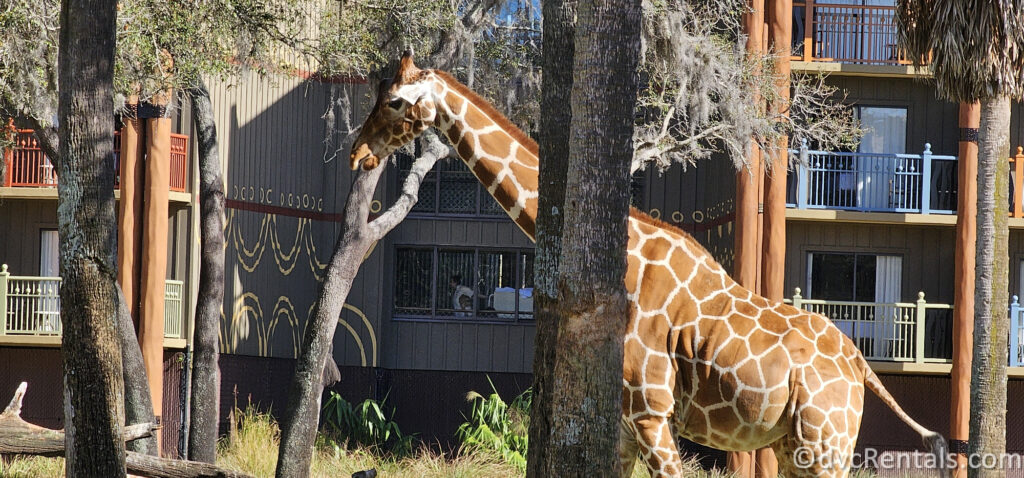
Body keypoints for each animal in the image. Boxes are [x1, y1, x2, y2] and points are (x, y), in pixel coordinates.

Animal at [352, 52, 950, 478]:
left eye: (396, 102)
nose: (359, 153)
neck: (632, 264)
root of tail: (862, 366)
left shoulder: (652, 412)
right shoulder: (623, 420)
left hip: (825, 444)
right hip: (795, 445)